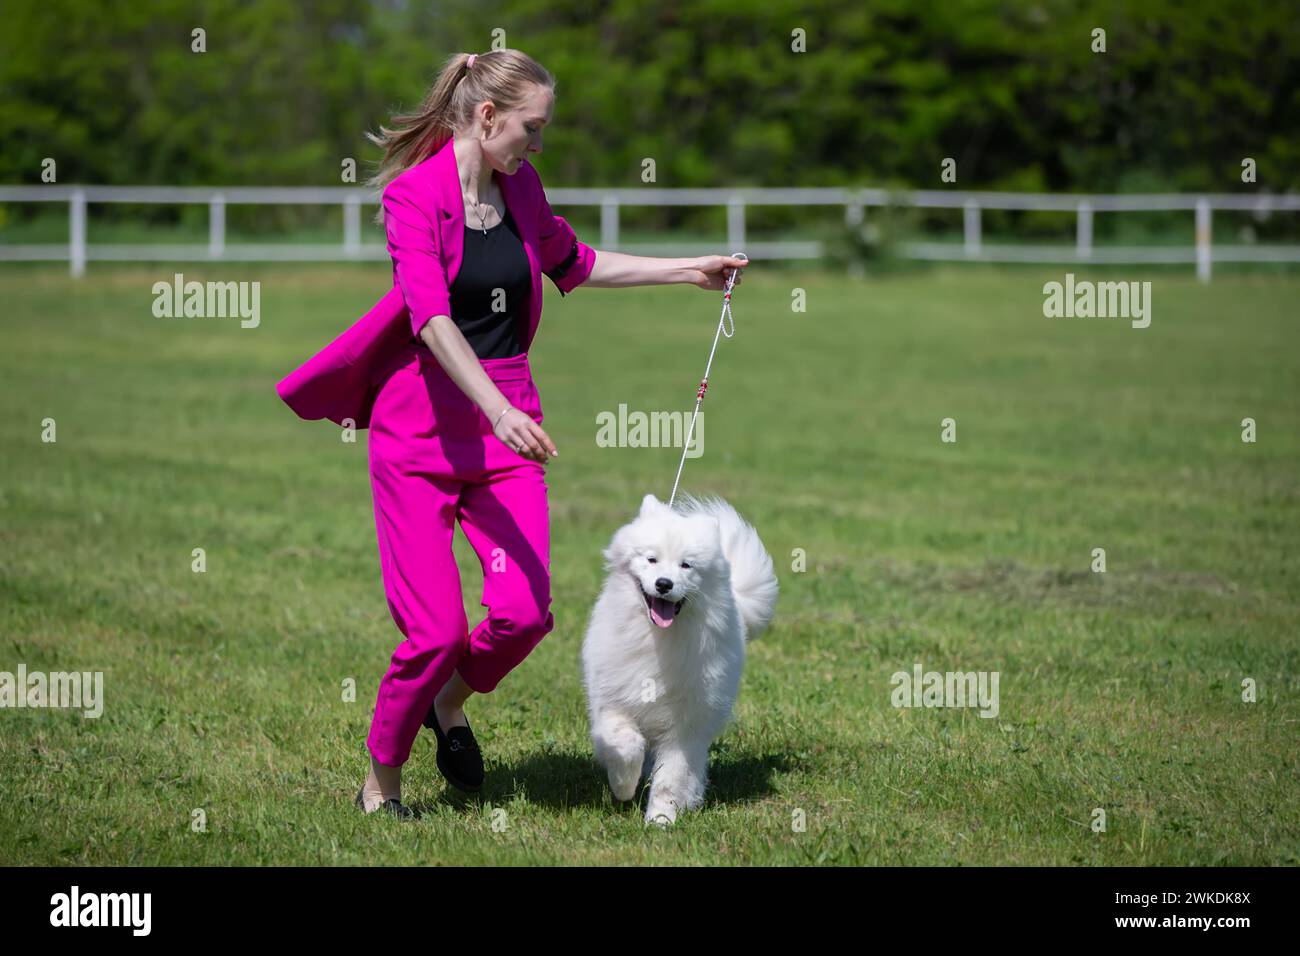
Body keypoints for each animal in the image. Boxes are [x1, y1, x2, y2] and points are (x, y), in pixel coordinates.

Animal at [582, 494, 780, 822]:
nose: (664, 583)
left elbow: (671, 777)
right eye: (651, 559)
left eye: (686, 565)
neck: (657, 638)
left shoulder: (684, 728)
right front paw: (623, 786)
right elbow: (626, 744)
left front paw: (661, 820)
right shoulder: (612, 703)